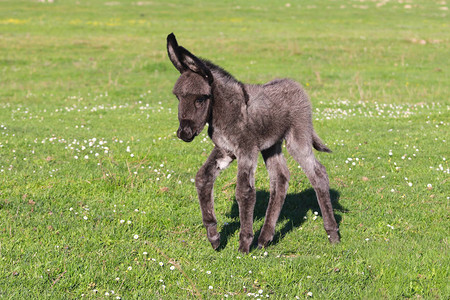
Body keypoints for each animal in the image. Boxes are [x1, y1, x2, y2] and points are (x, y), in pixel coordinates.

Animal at [167, 33, 340, 253]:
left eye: (201, 99)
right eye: (178, 97)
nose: (184, 133)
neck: (225, 112)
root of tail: (296, 85)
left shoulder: (246, 150)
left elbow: (244, 191)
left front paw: (243, 244)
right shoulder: (225, 150)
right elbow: (203, 178)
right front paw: (214, 236)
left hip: (298, 138)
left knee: (318, 174)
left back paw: (333, 234)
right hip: (271, 146)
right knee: (280, 179)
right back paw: (265, 238)